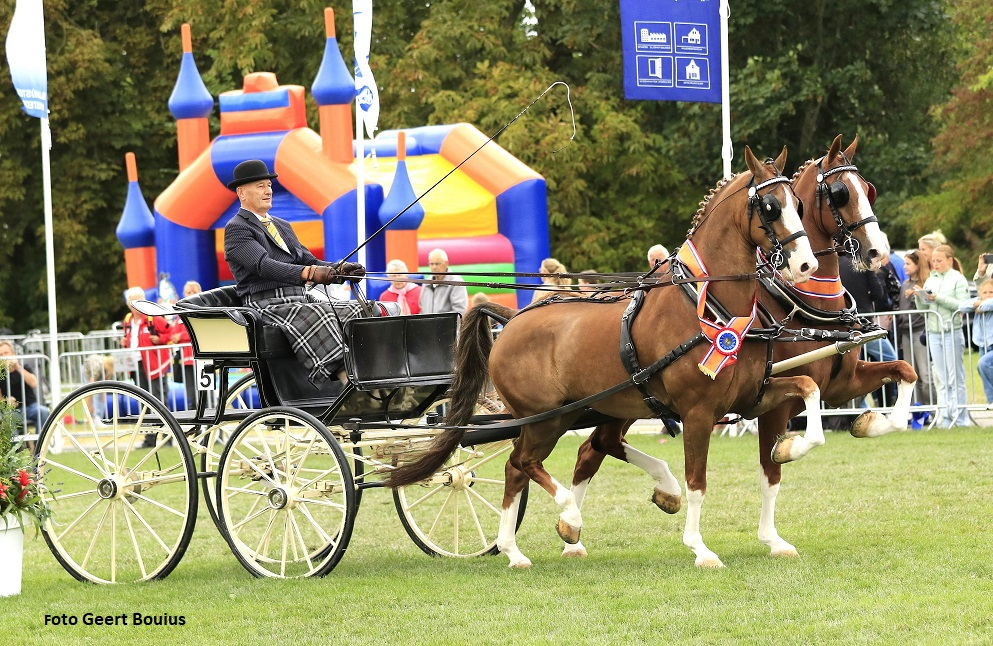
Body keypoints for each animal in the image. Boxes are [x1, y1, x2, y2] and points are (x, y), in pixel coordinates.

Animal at [387, 146, 822, 568]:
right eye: (769, 206)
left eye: (798, 203)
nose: (806, 264)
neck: (708, 307)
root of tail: (509, 321)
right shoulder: (698, 412)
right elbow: (697, 482)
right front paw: (700, 549)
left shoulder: (751, 396)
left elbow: (808, 391)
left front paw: (788, 449)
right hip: (546, 418)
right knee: (524, 462)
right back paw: (567, 518)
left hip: (594, 408)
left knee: (533, 463)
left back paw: (517, 550)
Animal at [562, 135, 918, 563]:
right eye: (840, 193)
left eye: (869, 190)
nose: (878, 252)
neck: (800, 303)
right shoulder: (774, 402)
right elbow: (780, 460)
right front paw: (789, 450)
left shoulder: (842, 384)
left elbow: (905, 373)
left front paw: (870, 423)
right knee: (591, 449)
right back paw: (575, 529)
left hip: (629, 402)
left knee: (595, 447)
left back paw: (581, 527)